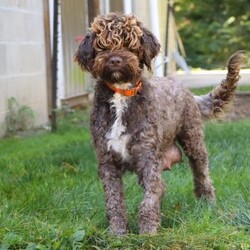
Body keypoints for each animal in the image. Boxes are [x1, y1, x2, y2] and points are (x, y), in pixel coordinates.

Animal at [74, 12, 242, 235]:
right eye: (102, 46)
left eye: (129, 44)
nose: (115, 60)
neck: (122, 94)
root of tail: (187, 91)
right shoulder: (107, 159)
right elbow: (114, 200)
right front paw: (117, 233)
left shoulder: (148, 155)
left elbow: (149, 197)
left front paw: (148, 232)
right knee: (163, 187)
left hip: (193, 141)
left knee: (201, 174)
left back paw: (208, 203)